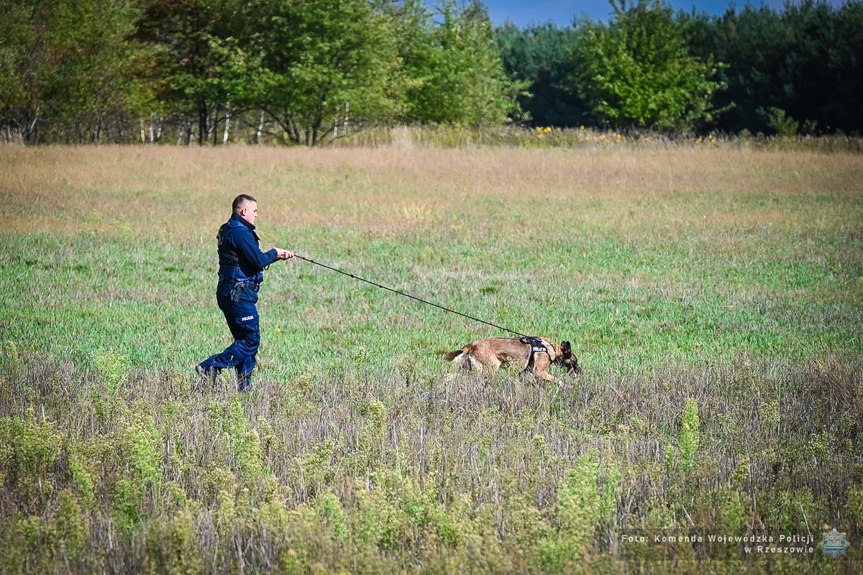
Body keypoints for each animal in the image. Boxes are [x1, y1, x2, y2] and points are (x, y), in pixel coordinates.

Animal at [446, 338, 580, 388]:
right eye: (575, 361)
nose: (580, 371)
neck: (551, 348)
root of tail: (472, 344)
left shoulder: (523, 373)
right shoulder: (539, 372)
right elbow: (559, 380)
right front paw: (568, 387)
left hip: (466, 370)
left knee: (448, 376)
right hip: (491, 368)